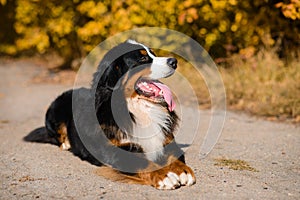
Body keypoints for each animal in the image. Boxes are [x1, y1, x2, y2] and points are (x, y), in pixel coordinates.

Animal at [24, 39, 196, 190]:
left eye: (152, 53)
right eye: (142, 58)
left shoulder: (166, 139)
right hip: (55, 108)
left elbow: (175, 156)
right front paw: (164, 176)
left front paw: (183, 171)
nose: (174, 61)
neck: (137, 110)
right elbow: (142, 162)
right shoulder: (115, 150)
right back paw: (66, 143)